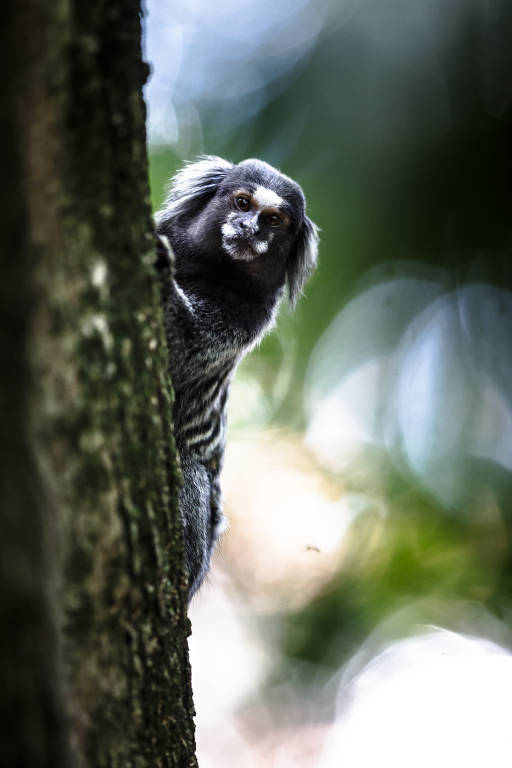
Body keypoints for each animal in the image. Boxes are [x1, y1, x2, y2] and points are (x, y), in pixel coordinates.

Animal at [154, 156, 318, 600]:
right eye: (243, 203)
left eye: (274, 220)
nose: (249, 228)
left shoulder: (247, 316)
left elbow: (182, 350)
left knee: (190, 469)